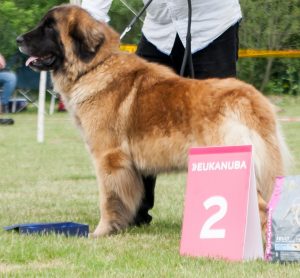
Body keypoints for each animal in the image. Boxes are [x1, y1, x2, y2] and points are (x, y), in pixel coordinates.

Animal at [17, 4, 290, 237]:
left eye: (49, 27)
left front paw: (102, 231)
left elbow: (108, 198)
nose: (19, 40)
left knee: (262, 207)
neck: (94, 66)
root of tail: (252, 99)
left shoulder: (108, 158)